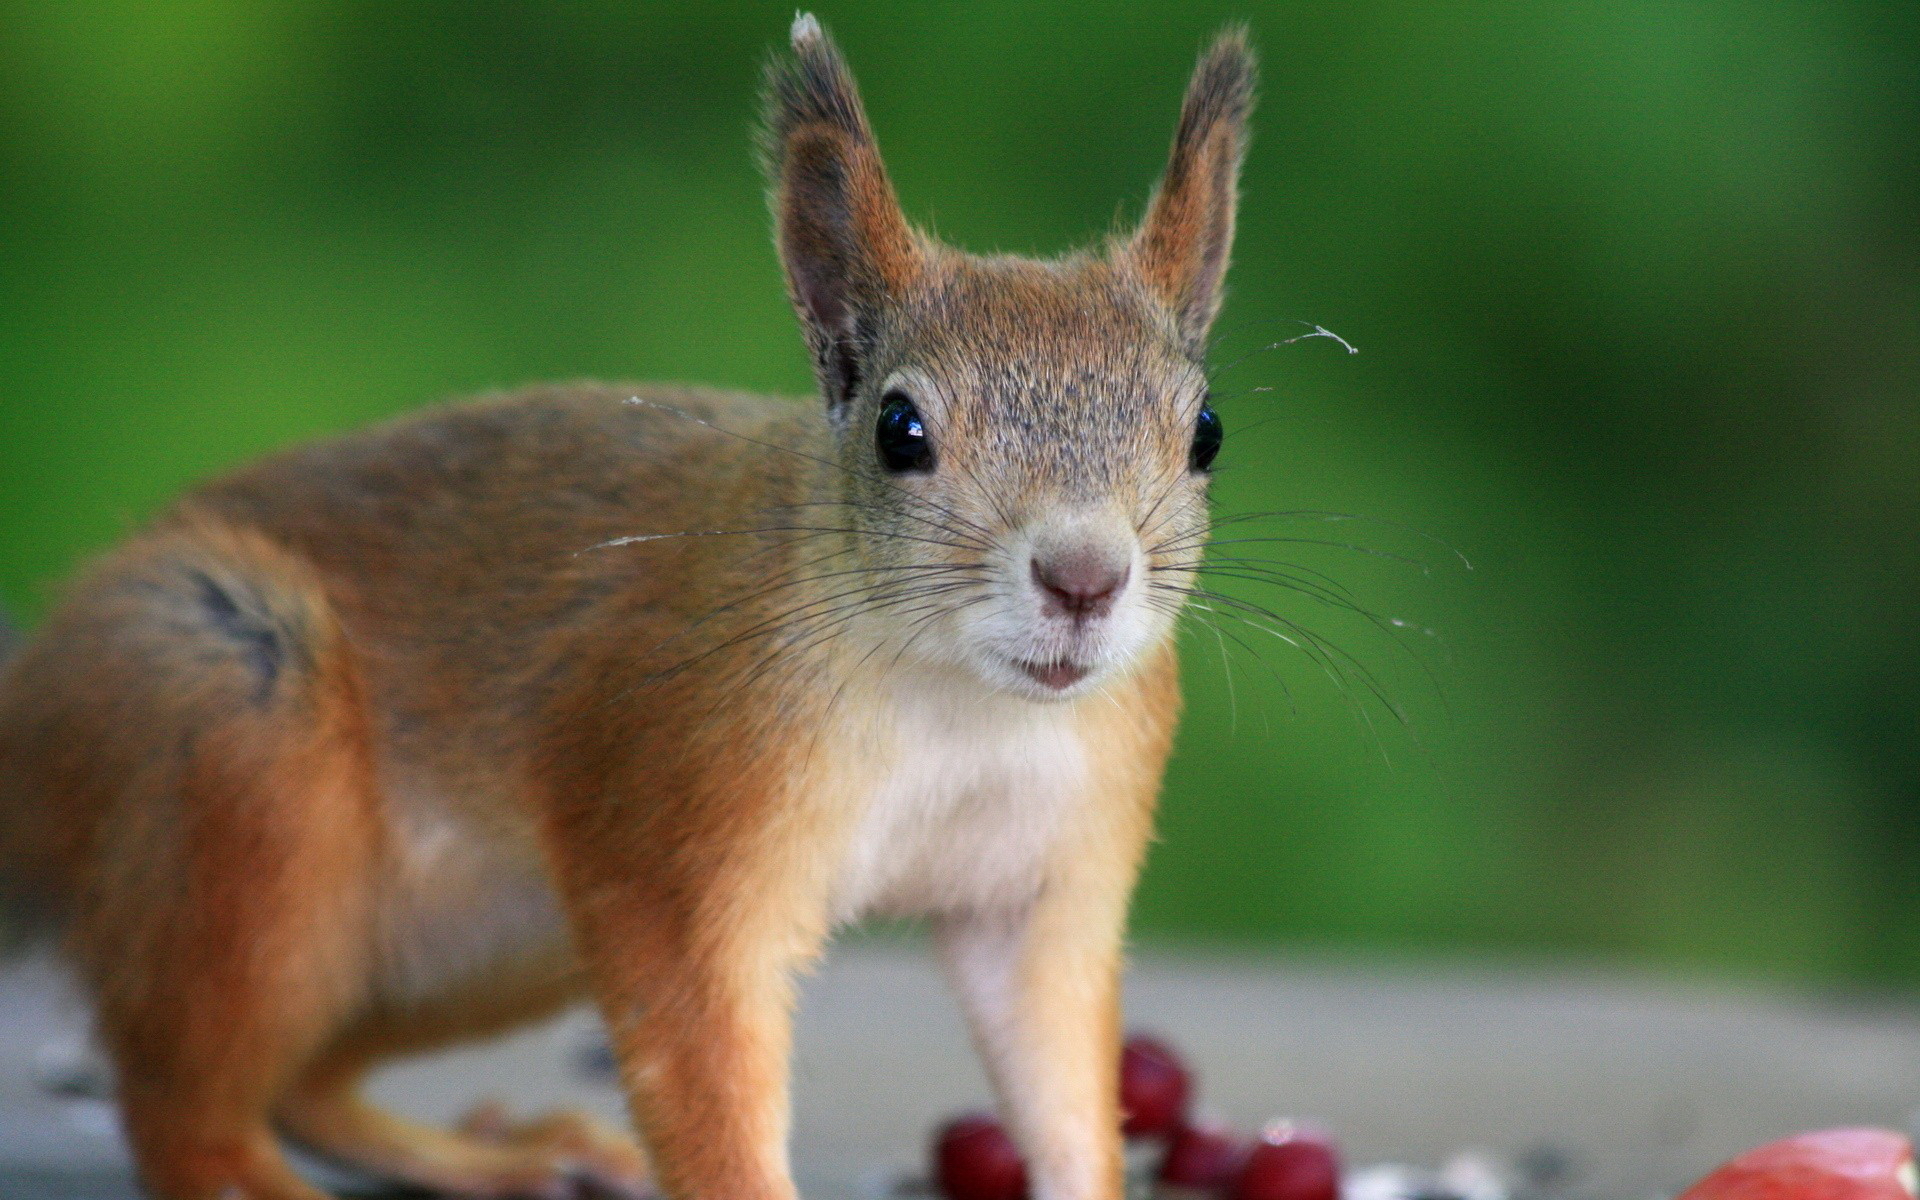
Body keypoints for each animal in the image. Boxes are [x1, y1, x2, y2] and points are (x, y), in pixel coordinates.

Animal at [0, 16, 1259, 1198]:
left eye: (1206, 432)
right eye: (902, 431)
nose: (1084, 579)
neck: (963, 701)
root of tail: (34, 712)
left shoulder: (1046, 883)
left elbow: (1056, 1074)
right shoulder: (688, 825)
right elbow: (703, 1061)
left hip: (495, 941)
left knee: (303, 1082)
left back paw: (485, 1157)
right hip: (231, 747)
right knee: (187, 1112)